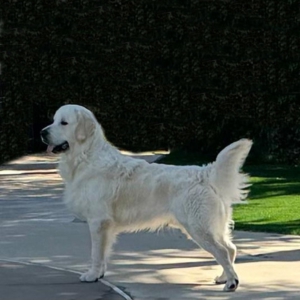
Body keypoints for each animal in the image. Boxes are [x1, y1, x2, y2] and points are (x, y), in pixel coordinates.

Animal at [41, 104, 252, 292]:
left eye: (64, 122)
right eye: (53, 120)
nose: (42, 133)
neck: (86, 156)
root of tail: (205, 174)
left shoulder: (98, 221)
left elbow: (96, 253)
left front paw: (92, 275)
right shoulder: (105, 226)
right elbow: (103, 254)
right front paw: (99, 274)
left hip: (199, 228)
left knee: (222, 251)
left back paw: (231, 283)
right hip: (211, 226)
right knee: (230, 248)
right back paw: (223, 277)